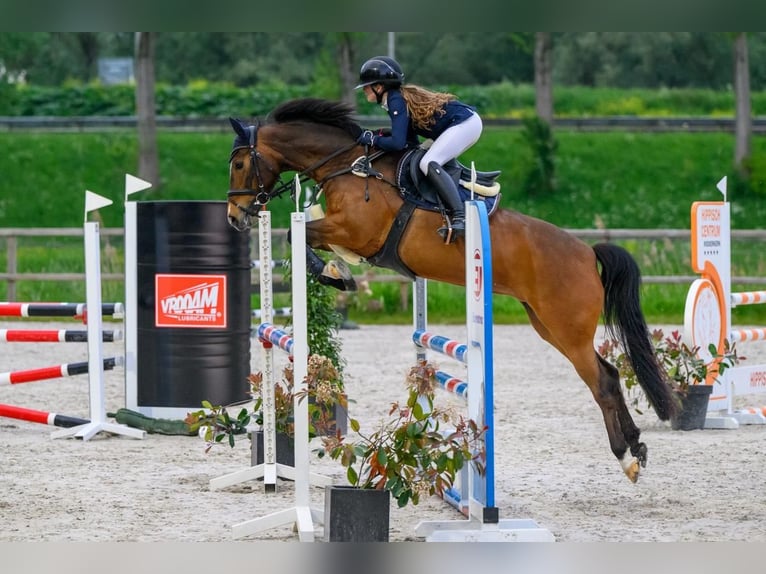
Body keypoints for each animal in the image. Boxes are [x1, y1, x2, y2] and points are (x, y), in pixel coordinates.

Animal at [226, 97, 678, 483]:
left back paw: (625, 457)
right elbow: (306, 234)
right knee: (611, 373)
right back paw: (637, 447)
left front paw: (334, 274)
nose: (234, 216)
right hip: (548, 325)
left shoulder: (355, 231)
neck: (348, 166)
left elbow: (298, 233)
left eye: (240, 163)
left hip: (567, 329)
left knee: (602, 382)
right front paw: (338, 272)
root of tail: (587, 252)